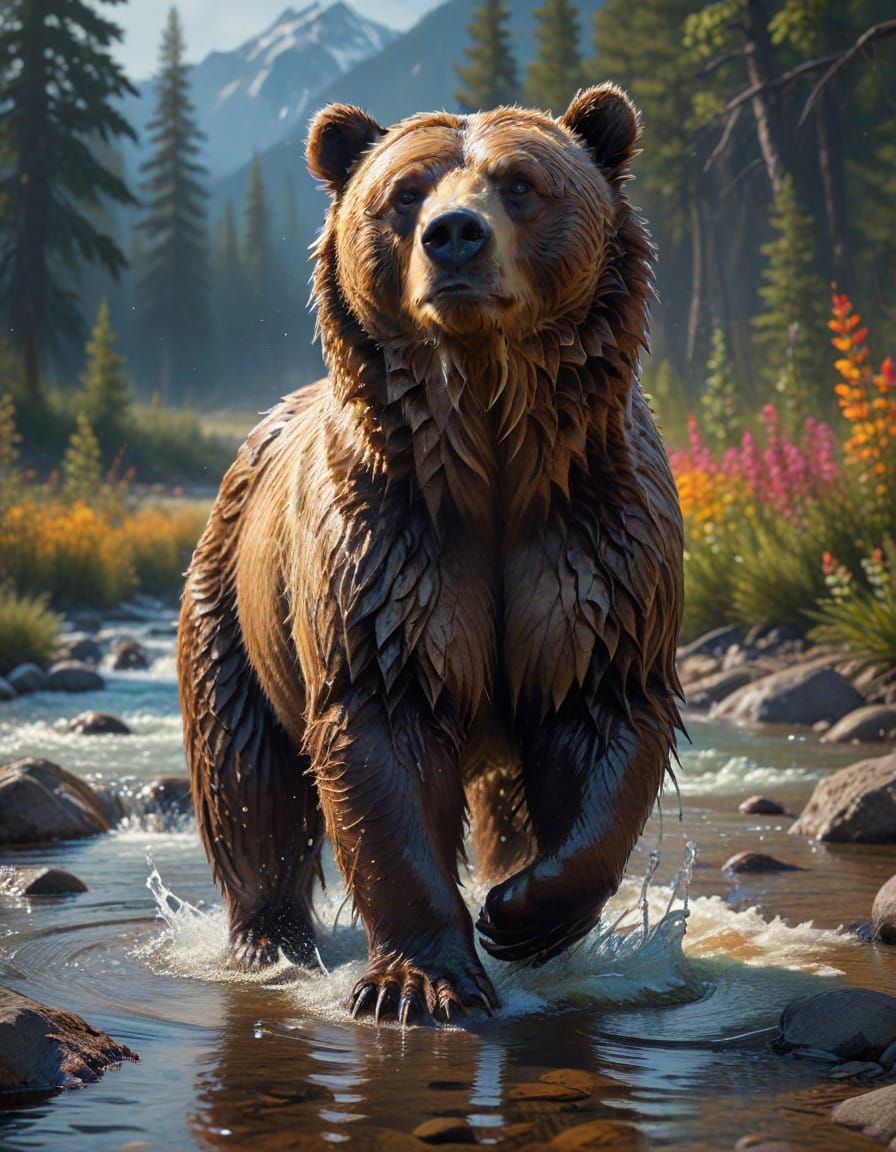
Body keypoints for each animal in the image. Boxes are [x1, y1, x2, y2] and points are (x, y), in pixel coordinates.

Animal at [177, 83, 684, 1026]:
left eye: (521, 183)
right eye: (405, 192)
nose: (455, 234)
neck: (492, 454)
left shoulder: (590, 543)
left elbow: (601, 710)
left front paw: (522, 914)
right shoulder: (389, 551)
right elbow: (385, 733)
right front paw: (419, 984)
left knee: (507, 800)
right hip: (233, 606)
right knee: (247, 780)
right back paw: (271, 938)